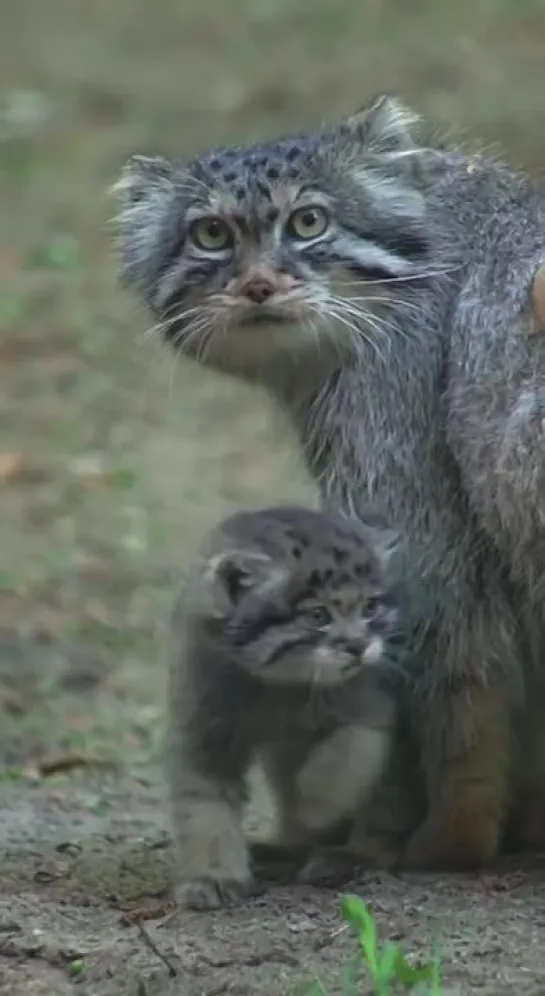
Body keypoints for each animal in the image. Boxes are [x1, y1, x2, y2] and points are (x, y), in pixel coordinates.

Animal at [168, 510, 402, 908]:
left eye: (370, 608)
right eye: (318, 616)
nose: (358, 646)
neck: (280, 686)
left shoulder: (372, 706)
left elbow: (348, 752)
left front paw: (313, 807)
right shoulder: (203, 732)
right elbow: (204, 806)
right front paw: (211, 875)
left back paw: (344, 856)